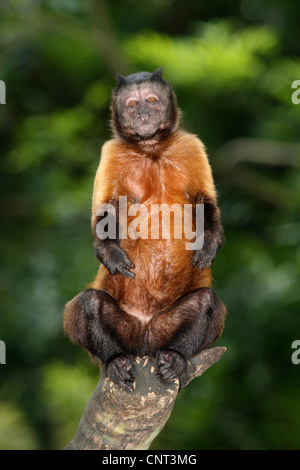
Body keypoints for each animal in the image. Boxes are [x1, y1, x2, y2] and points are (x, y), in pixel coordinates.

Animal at [63, 68, 227, 392]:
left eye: (151, 100)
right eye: (131, 104)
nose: (142, 114)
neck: (151, 149)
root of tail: (145, 343)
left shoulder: (191, 146)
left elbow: (205, 203)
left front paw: (210, 242)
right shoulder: (111, 152)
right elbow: (106, 210)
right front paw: (109, 252)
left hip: (163, 330)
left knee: (206, 302)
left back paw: (175, 358)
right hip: (127, 331)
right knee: (90, 304)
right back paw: (114, 361)